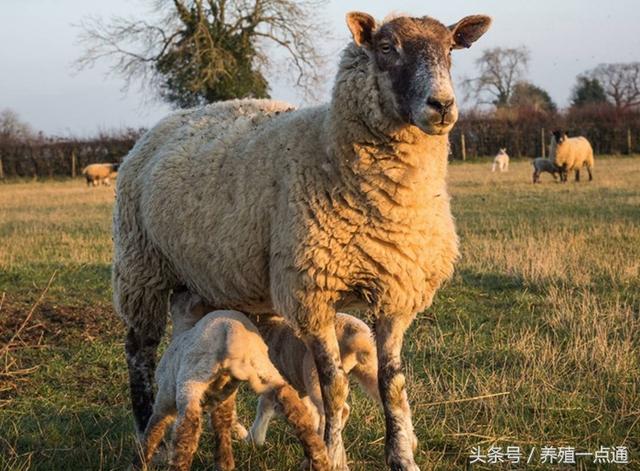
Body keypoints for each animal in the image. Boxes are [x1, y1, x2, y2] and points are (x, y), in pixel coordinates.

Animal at [132, 298, 328, 471]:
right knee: (294, 408)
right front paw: (226, 461)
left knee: (187, 432)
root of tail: (233, 340)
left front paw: (139, 463)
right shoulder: (223, 400)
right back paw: (320, 458)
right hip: (266, 372)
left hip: (191, 381)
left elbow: (152, 433)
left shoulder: (164, 401)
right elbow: (223, 429)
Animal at [169, 294, 380, 448]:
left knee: (340, 410)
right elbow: (307, 410)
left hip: (315, 376)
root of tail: (356, 338)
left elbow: (264, 407)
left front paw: (253, 440)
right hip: (371, 370)